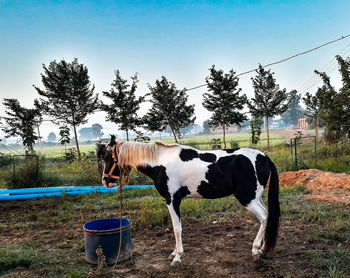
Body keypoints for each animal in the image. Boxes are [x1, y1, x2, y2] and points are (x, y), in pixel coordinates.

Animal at [98, 136, 278, 266]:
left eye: (107, 157)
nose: (106, 181)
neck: (160, 162)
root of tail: (264, 157)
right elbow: (176, 227)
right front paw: (174, 252)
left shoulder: (172, 200)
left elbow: (177, 228)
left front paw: (177, 257)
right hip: (256, 197)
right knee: (267, 215)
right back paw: (262, 248)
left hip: (248, 198)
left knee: (264, 217)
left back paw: (255, 250)